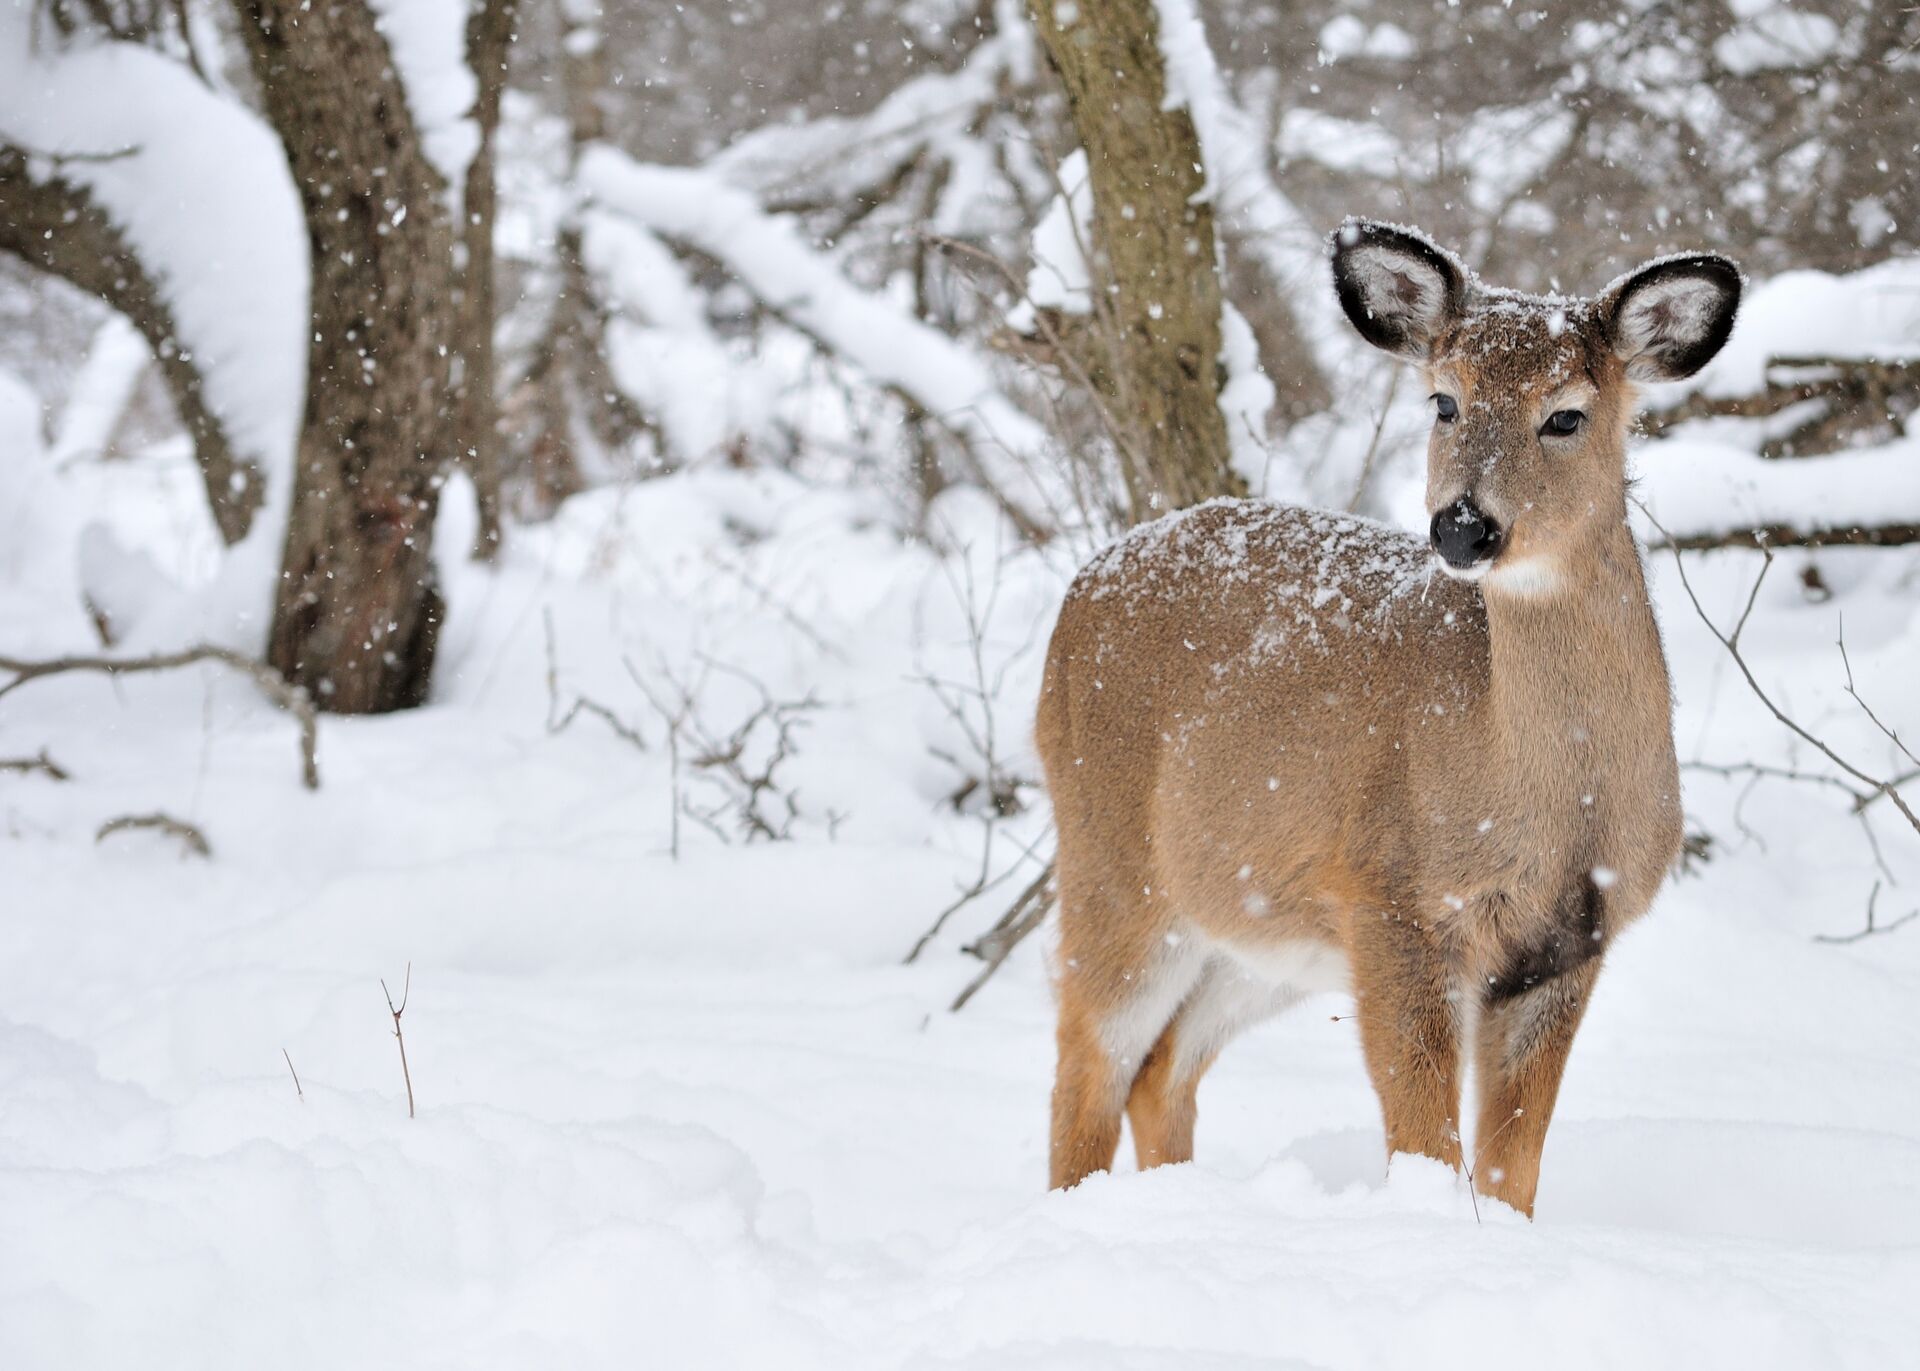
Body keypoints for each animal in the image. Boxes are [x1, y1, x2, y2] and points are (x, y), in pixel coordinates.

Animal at [1036, 218, 1743, 1213]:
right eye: (1443, 401)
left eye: (1566, 415)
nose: (1463, 526)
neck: (1555, 800)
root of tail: (1080, 588)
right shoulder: (1394, 897)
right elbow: (1427, 1143)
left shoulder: (1569, 946)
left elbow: (1512, 1163)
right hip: (1114, 858)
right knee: (1089, 1061)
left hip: (1255, 927)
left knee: (1161, 1070)